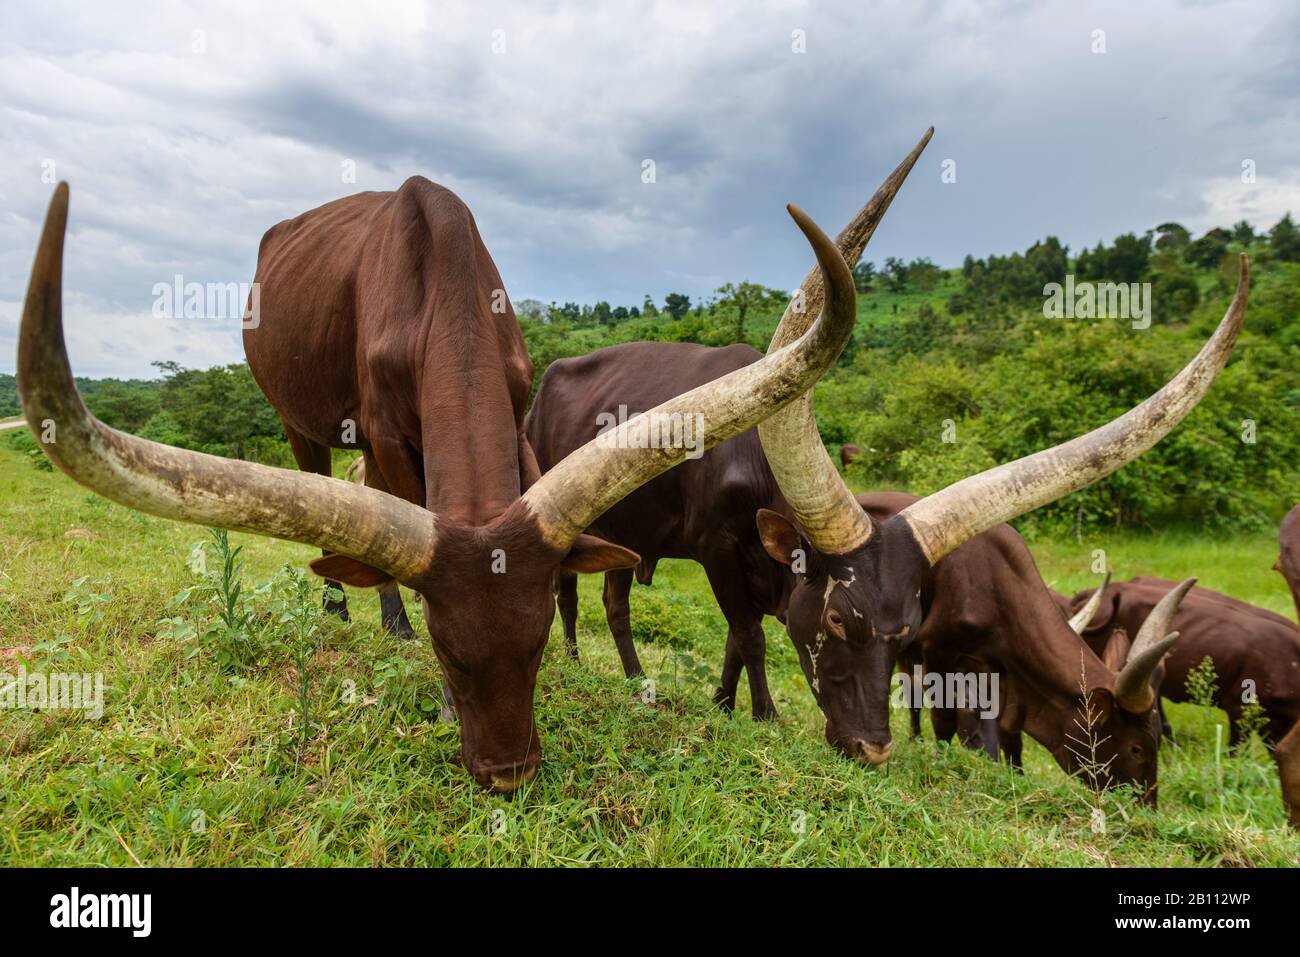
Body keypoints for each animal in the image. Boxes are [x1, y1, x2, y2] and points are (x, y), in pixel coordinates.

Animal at [17, 182, 859, 792]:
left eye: (536, 645)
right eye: (448, 653)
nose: (507, 774)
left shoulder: (518, 419)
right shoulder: (387, 434)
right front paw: (403, 626)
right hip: (299, 418)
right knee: (324, 481)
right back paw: (353, 609)